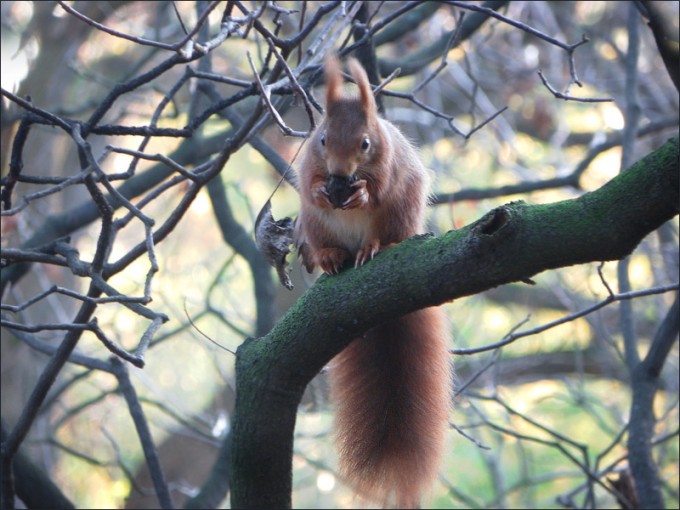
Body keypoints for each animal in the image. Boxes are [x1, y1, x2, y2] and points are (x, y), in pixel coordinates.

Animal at [294, 55, 452, 508]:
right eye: (323, 139)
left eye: (365, 143)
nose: (341, 173)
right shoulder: (308, 162)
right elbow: (308, 182)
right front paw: (322, 188)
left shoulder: (388, 163)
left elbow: (378, 186)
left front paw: (362, 193)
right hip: (314, 227)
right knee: (325, 240)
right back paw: (333, 257)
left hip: (401, 211)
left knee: (386, 230)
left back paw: (374, 248)